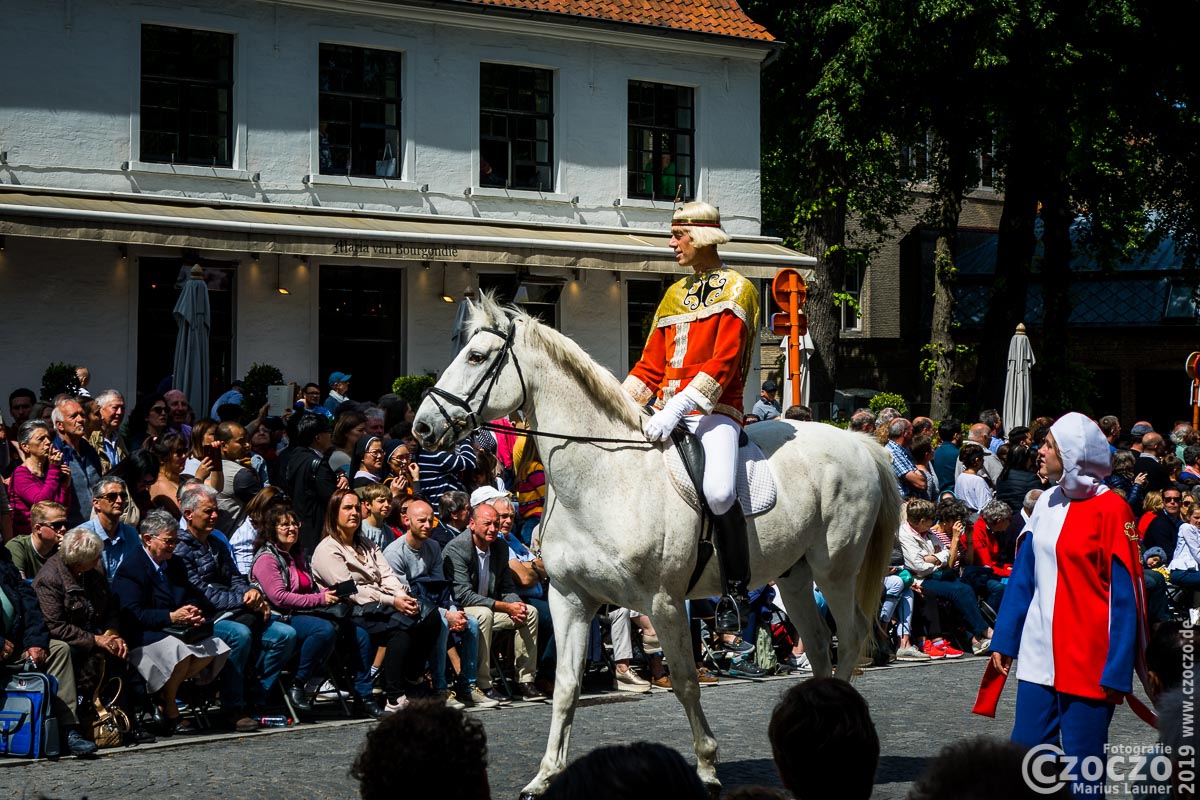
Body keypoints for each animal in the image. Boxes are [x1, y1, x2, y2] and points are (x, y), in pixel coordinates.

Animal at [412, 296, 902, 800]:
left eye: (475, 357)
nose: (422, 427)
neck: (602, 476)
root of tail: (859, 441)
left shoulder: (664, 603)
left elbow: (685, 683)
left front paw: (707, 768)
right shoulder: (569, 599)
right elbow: (566, 686)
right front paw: (545, 775)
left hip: (835, 572)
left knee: (850, 637)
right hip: (796, 576)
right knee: (821, 645)